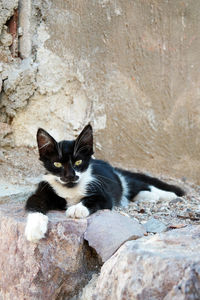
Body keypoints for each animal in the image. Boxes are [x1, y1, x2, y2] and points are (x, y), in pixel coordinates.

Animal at [24, 123, 184, 243]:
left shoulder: (102, 192)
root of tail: (108, 165)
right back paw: (148, 196)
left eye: (78, 162)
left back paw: (167, 195)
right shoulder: (44, 189)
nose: (70, 176)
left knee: (138, 184)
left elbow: (95, 199)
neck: (70, 189)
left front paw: (77, 209)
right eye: (57, 164)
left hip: (120, 179)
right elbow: (34, 203)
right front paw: (34, 228)